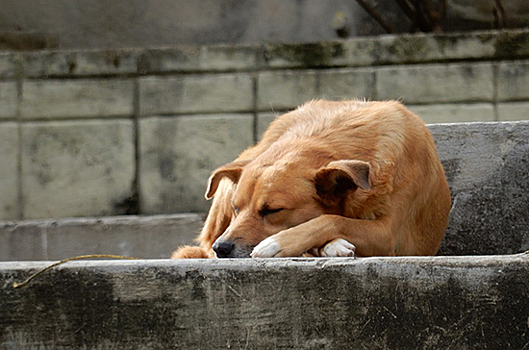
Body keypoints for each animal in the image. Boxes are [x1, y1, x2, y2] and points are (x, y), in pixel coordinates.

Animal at [172, 100, 450, 258]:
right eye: (236, 209)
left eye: (272, 210)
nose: (222, 248)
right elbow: (332, 220)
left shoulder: (389, 234)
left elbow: (330, 219)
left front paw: (276, 243)